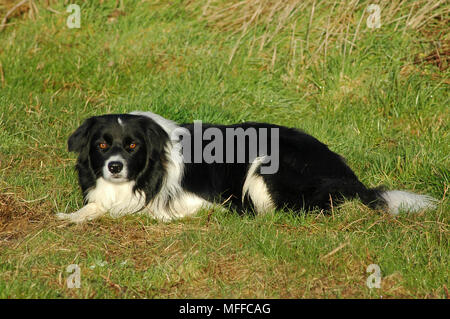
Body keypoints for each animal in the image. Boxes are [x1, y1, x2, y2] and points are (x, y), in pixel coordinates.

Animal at [55, 111, 436, 224]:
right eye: (102, 145)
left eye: (132, 145)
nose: (114, 167)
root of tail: (350, 177)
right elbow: (93, 206)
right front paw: (72, 216)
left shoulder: (203, 199)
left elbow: (154, 211)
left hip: (265, 162)